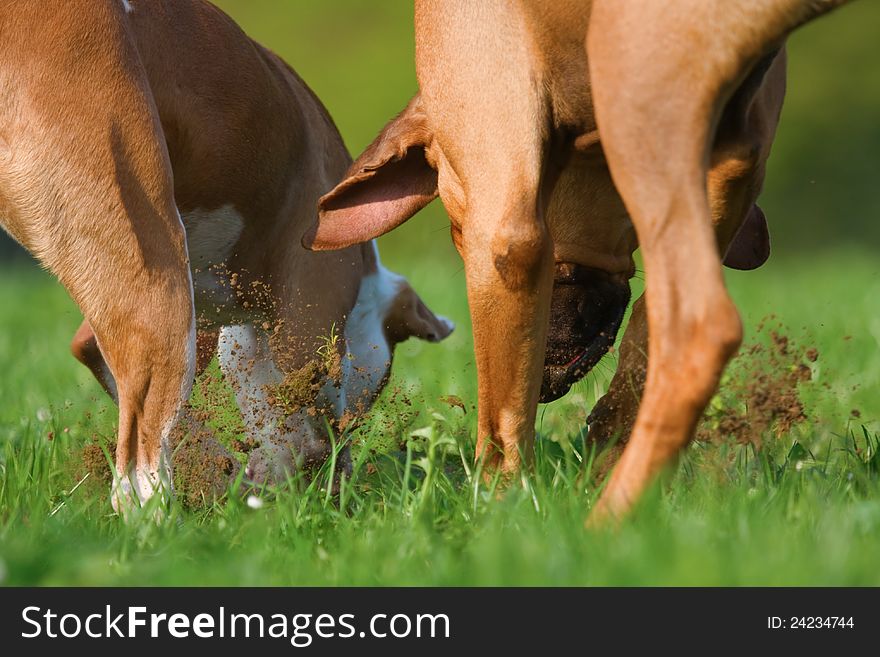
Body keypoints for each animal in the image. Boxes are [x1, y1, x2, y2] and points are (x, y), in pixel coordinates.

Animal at [0, 0, 454, 510]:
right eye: (367, 402)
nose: (334, 486)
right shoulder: (305, 321)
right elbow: (302, 413)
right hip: (152, 278)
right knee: (140, 474)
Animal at [306, 1, 848, 524]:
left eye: (458, 226)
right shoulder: (737, 159)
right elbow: (639, 351)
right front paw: (605, 455)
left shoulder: (503, 211)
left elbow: (501, 425)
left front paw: (494, 510)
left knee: (702, 326)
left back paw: (607, 525)